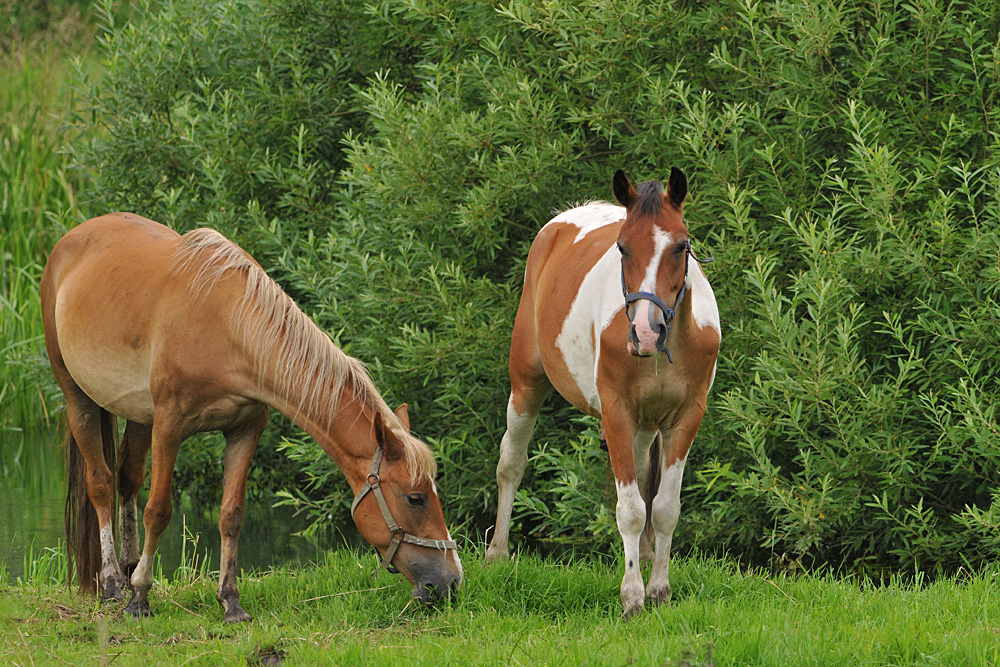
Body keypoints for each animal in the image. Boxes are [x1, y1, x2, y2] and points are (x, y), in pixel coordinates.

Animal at [39, 217, 460, 624]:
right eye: (416, 498)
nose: (451, 581)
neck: (229, 325)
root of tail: (71, 240)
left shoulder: (244, 429)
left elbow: (232, 514)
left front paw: (231, 603)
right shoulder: (169, 428)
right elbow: (158, 511)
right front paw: (141, 599)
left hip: (138, 413)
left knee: (128, 477)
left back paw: (128, 568)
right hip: (79, 399)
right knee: (101, 484)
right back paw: (113, 584)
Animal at [484, 171, 720, 616]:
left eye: (681, 246)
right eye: (622, 247)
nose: (646, 332)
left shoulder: (685, 417)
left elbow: (664, 506)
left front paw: (659, 589)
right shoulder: (617, 412)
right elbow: (629, 510)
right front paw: (632, 596)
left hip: (645, 426)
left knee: (645, 479)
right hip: (526, 384)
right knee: (511, 463)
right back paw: (497, 555)